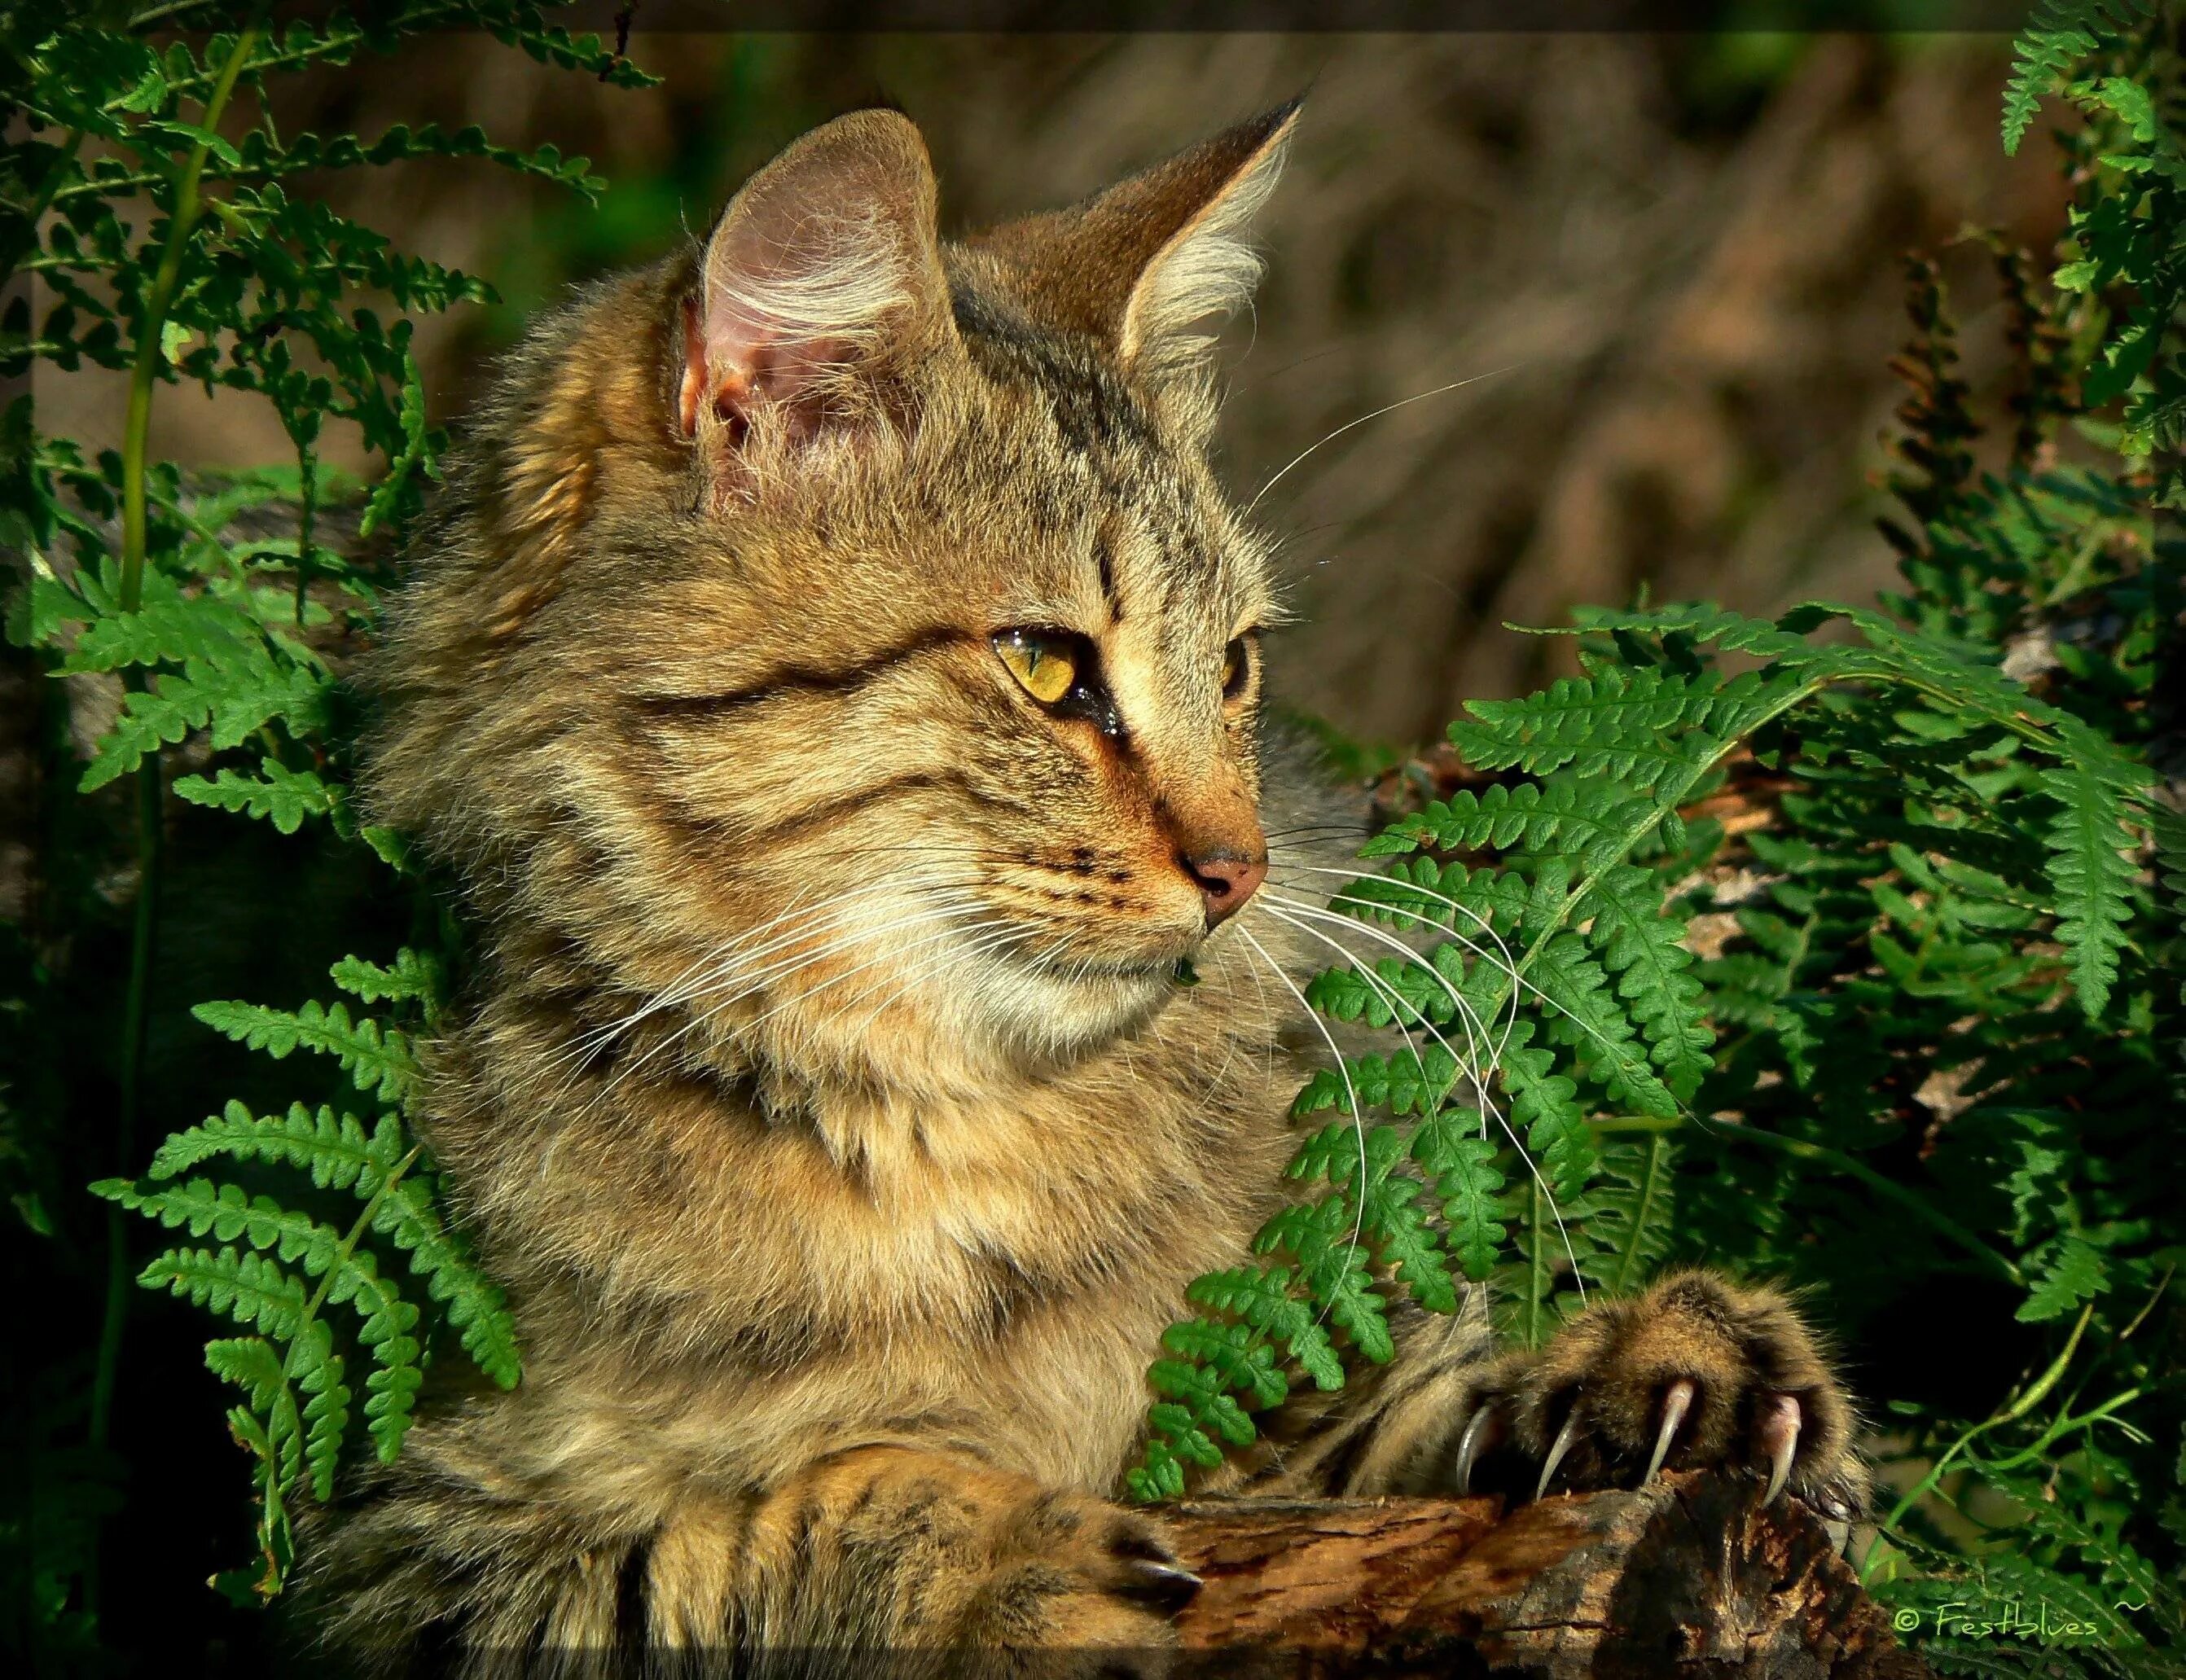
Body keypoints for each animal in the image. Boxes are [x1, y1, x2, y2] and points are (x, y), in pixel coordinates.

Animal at [308, 101, 1862, 1660]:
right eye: (1047, 666)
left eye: (1231, 664)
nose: (1241, 871)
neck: (939, 1130)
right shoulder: (391, 1544)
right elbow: (754, 1524)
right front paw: (997, 1561)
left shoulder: (1281, 1406)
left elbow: (1410, 1408)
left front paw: (1642, 1359)